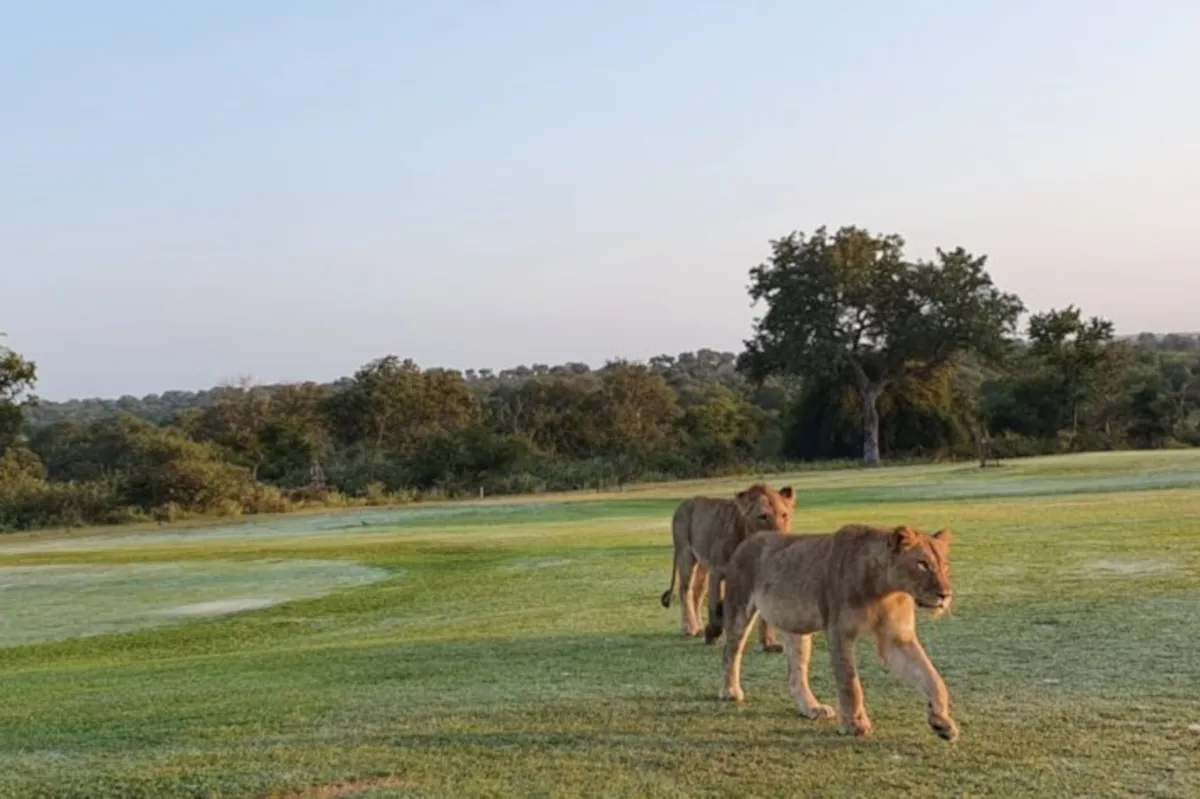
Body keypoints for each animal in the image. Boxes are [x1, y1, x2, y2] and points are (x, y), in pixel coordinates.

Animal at [660, 483, 795, 651]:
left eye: (784, 515)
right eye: (763, 516)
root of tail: (683, 503)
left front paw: (769, 643)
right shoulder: (717, 571)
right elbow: (714, 606)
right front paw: (712, 632)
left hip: (702, 566)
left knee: (697, 593)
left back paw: (698, 628)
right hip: (686, 555)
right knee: (685, 591)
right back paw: (690, 628)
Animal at [707, 523, 959, 742]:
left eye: (945, 566)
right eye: (922, 564)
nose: (945, 595)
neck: (886, 591)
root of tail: (748, 540)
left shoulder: (897, 639)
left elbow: (932, 677)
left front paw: (942, 723)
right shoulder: (839, 632)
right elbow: (849, 681)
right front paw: (855, 724)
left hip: (796, 626)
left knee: (795, 673)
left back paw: (811, 708)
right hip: (739, 608)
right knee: (730, 652)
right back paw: (730, 691)